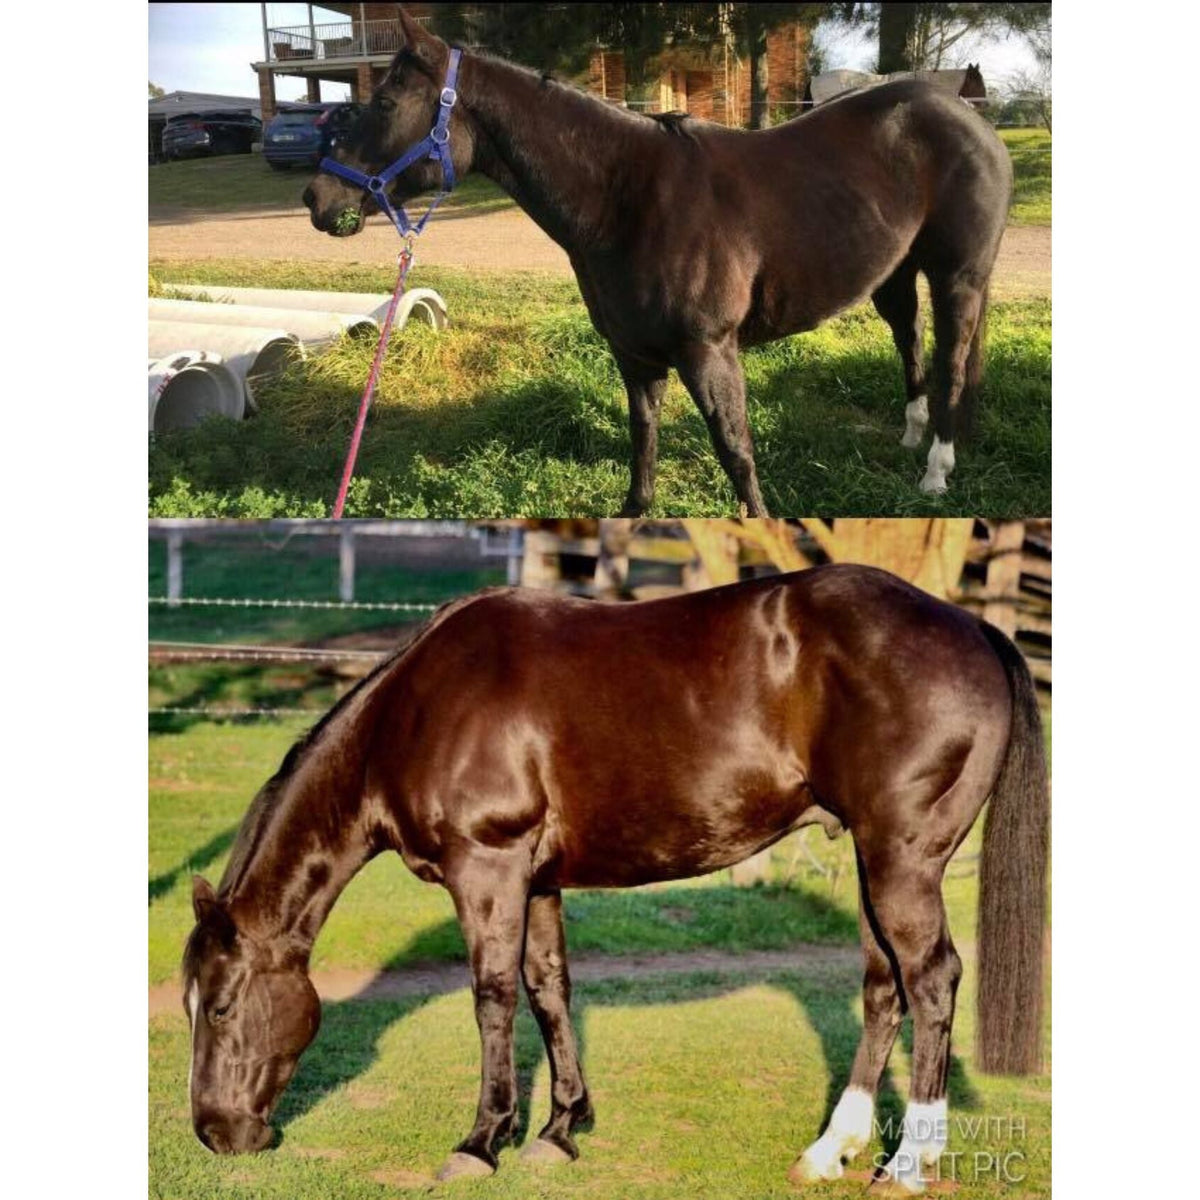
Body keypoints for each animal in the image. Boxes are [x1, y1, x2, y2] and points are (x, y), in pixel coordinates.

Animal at [182, 564, 1048, 1192]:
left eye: (220, 1006)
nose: (216, 1135)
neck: (417, 710)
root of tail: (973, 625)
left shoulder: (487, 867)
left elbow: (493, 996)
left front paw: (482, 1140)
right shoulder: (534, 879)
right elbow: (548, 987)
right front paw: (561, 1129)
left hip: (903, 861)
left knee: (932, 980)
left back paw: (908, 1165)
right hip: (872, 859)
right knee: (882, 990)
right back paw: (829, 1150)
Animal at [303, 9, 1013, 514]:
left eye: (385, 102)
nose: (318, 198)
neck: (628, 198)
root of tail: (968, 118)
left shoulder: (709, 350)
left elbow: (735, 450)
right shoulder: (635, 354)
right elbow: (643, 440)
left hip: (958, 278)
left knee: (951, 362)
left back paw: (936, 472)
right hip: (894, 275)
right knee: (910, 342)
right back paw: (913, 436)